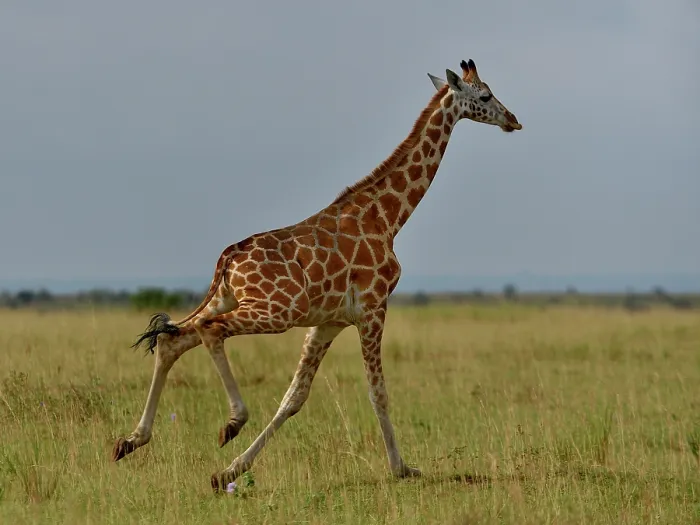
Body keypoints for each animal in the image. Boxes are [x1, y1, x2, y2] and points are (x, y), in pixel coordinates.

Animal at [111, 58, 522, 491]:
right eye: (485, 96)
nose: (513, 120)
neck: (389, 218)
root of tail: (228, 258)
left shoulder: (329, 321)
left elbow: (295, 396)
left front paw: (231, 470)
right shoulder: (373, 308)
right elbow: (378, 393)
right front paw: (402, 468)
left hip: (232, 299)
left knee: (172, 339)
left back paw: (130, 441)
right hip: (277, 310)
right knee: (210, 331)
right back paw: (233, 421)